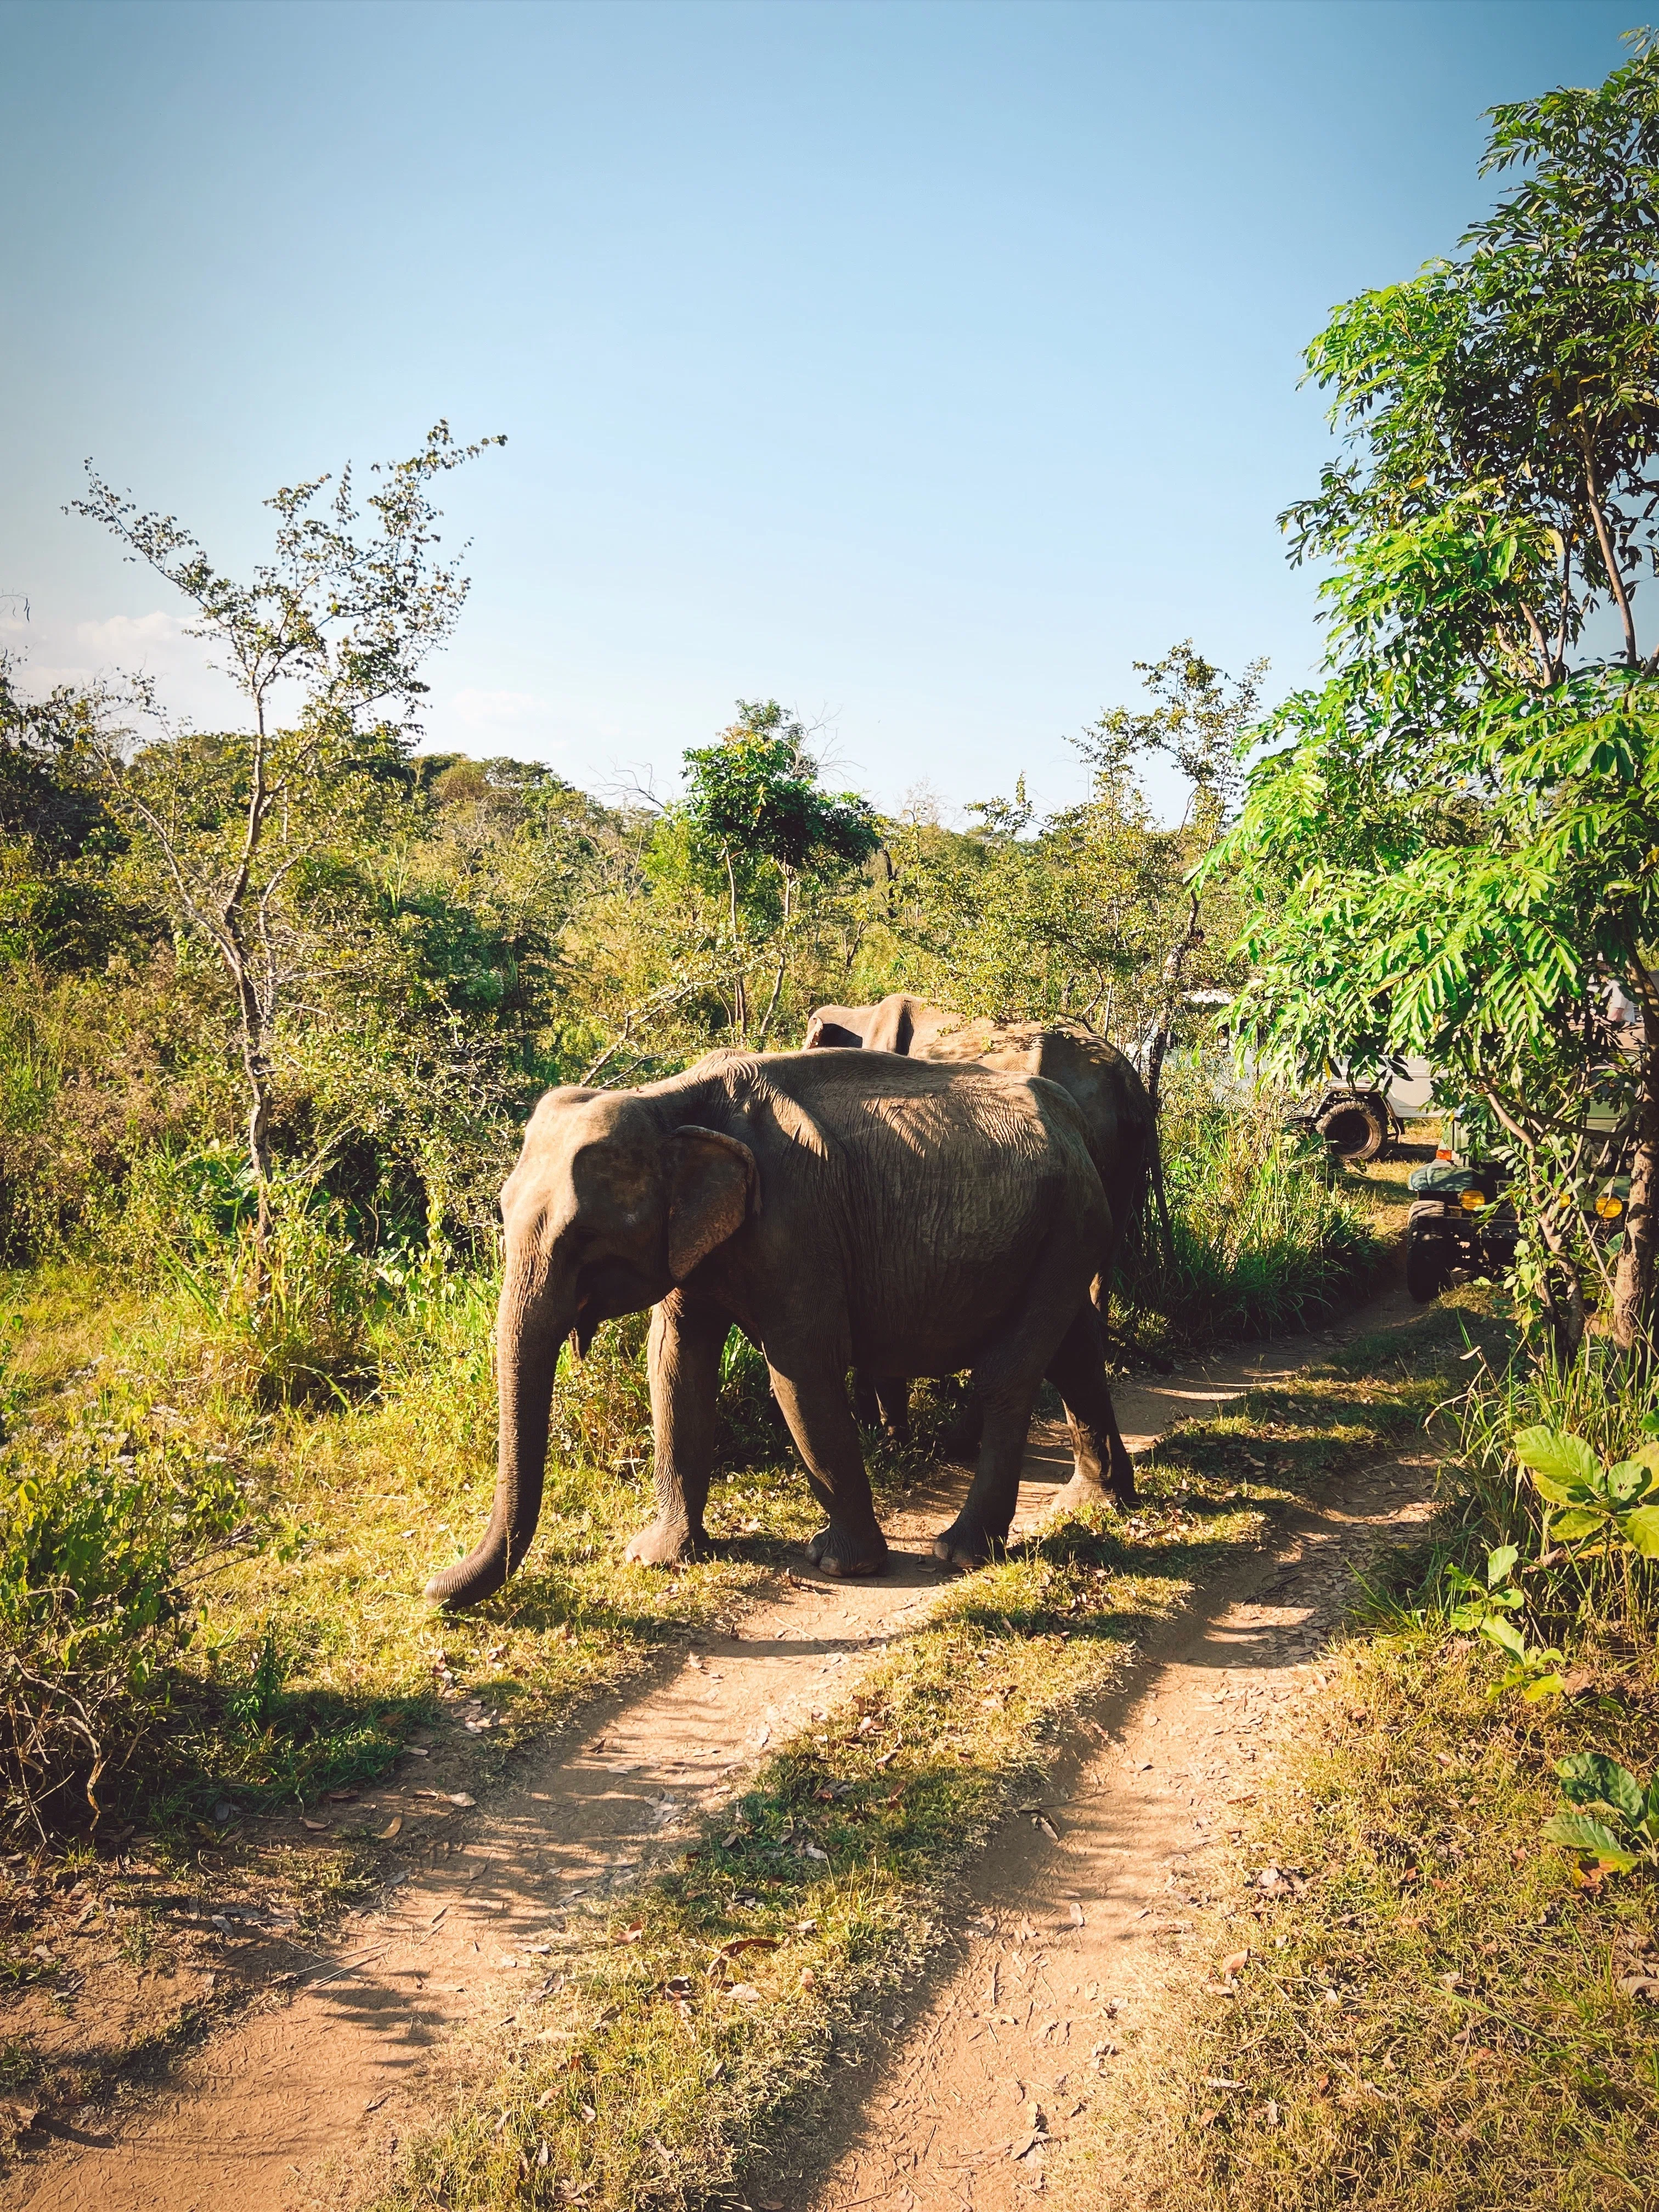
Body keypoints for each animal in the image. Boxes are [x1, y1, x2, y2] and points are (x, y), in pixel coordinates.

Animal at [425, 1045, 1136, 1608]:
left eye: (585, 1239)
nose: (430, 1589)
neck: (668, 1102)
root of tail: (1074, 1122)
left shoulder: (797, 1224)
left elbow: (800, 1369)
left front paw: (840, 1565)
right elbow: (674, 1363)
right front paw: (657, 1557)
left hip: (1069, 1222)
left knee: (1007, 1376)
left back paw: (960, 1552)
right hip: (1065, 1230)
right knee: (1075, 1351)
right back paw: (1099, 1504)